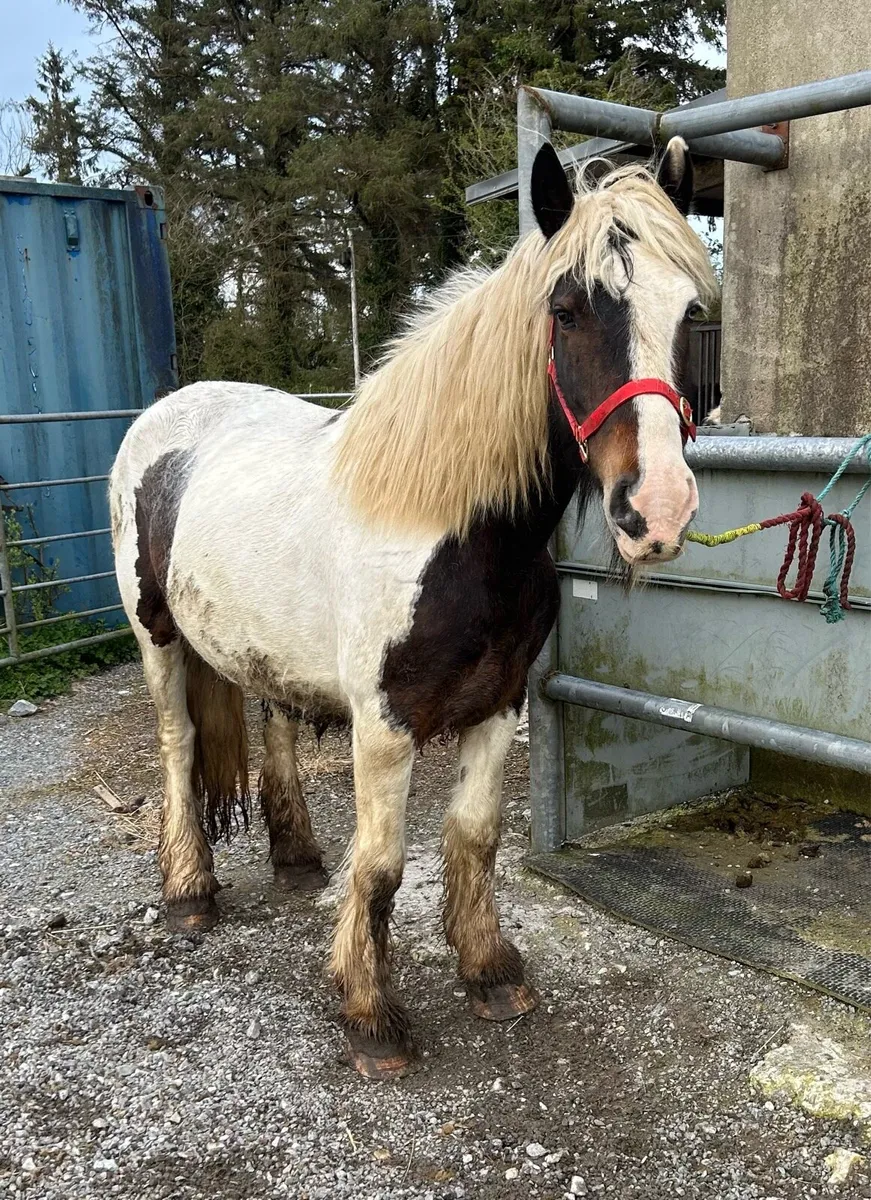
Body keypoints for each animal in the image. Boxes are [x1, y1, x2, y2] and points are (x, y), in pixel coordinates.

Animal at [110, 136, 717, 1080]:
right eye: (567, 309)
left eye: (689, 311)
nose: (656, 510)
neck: (448, 528)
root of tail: (170, 413)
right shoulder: (385, 725)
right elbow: (382, 866)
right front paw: (369, 1016)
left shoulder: (498, 706)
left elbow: (472, 837)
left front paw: (490, 972)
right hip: (158, 635)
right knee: (177, 747)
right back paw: (188, 891)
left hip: (260, 648)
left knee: (275, 724)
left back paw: (295, 858)